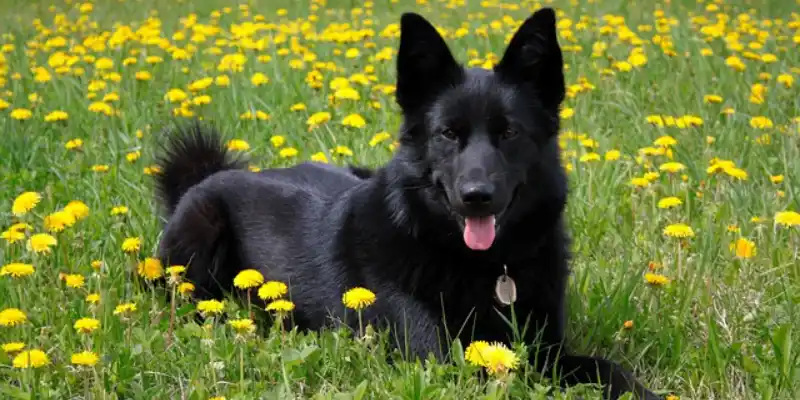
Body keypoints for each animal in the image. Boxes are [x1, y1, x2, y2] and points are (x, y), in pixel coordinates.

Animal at [153, 7, 660, 400]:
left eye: (509, 132)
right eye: (448, 133)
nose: (477, 197)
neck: (483, 267)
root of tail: (210, 174)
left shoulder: (550, 348)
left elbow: (607, 368)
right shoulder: (443, 358)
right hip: (199, 238)